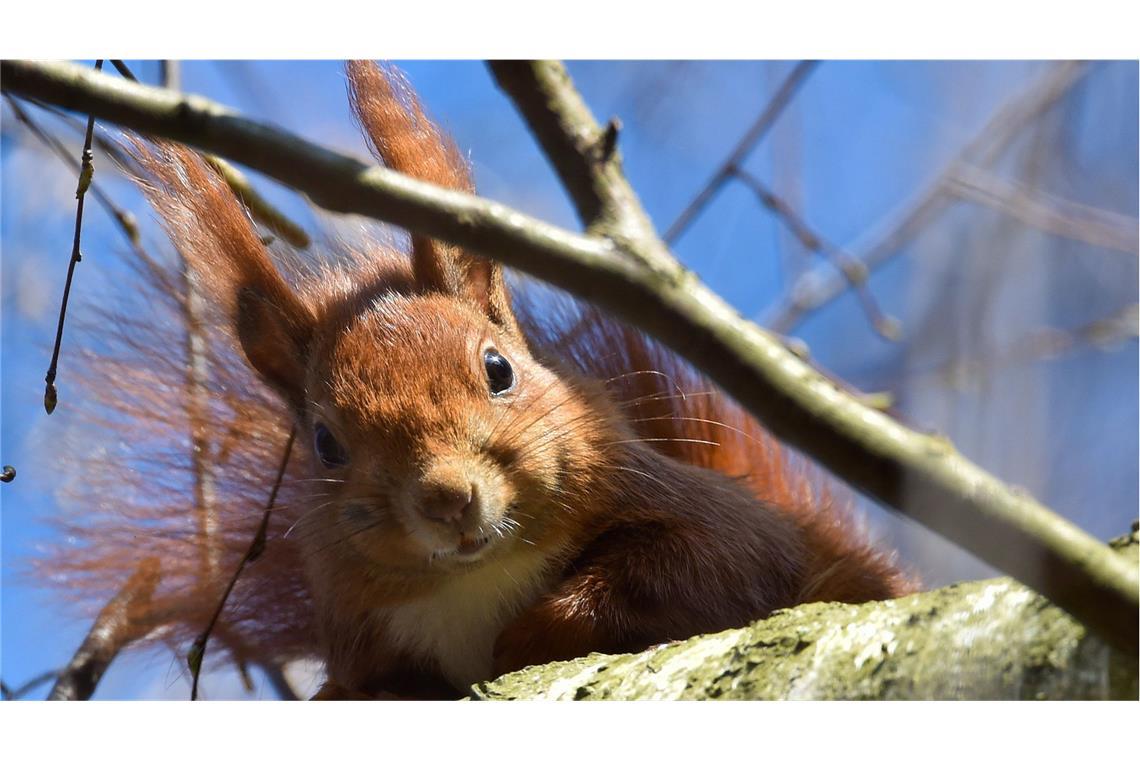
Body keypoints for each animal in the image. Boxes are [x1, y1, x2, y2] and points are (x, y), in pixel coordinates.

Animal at [35, 62, 912, 697]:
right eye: (323, 442)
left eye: (498, 369)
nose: (448, 497)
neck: (477, 578)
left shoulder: (722, 525)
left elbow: (713, 564)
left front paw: (531, 631)